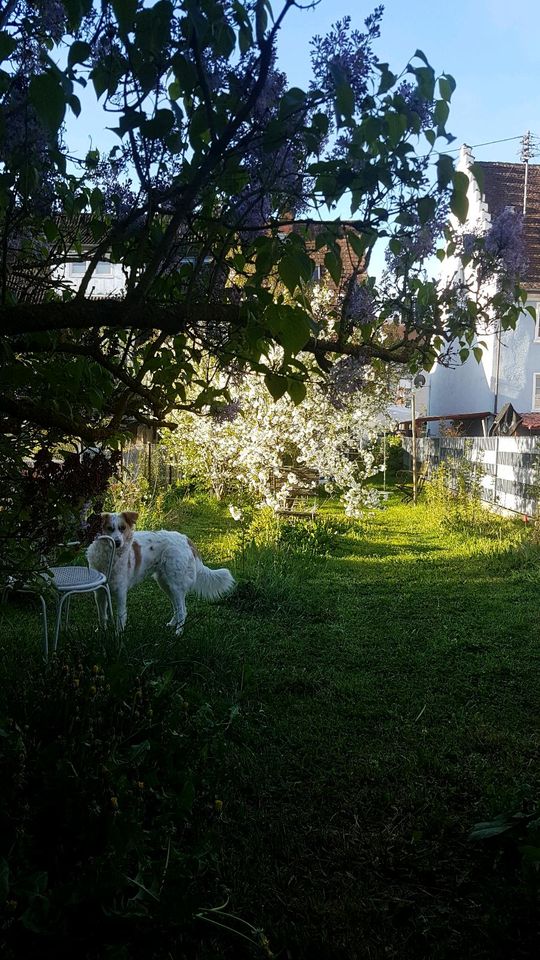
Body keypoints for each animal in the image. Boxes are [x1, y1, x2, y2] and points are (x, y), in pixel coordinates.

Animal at [86, 510, 234, 636]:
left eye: (122, 528)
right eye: (109, 528)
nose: (117, 542)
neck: (110, 556)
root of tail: (186, 539)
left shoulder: (121, 592)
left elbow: (120, 617)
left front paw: (118, 638)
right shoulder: (99, 592)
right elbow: (102, 615)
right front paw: (102, 633)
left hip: (176, 585)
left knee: (182, 610)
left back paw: (178, 633)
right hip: (165, 584)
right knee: (177, 608)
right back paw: (172, 624)